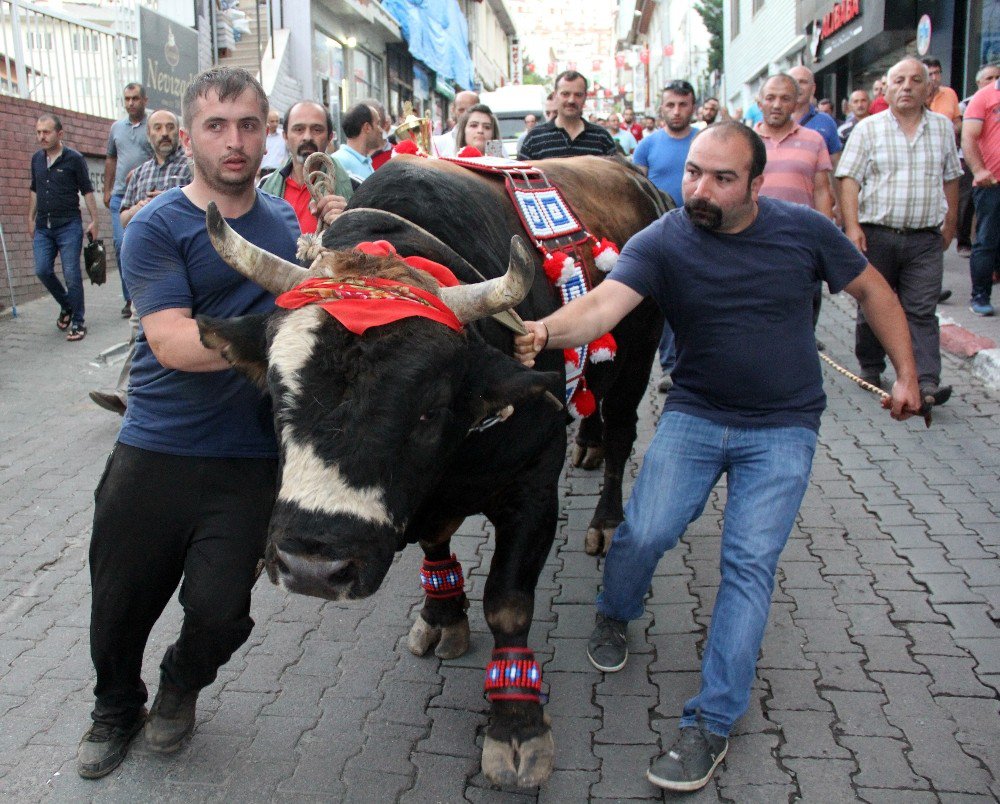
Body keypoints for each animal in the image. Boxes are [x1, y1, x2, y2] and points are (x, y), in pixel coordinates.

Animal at [193, 155, 664, 784]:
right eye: (274, 391)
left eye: (429, 408)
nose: (314, 567)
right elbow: (436, 545)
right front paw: (442, 615)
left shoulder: (534, 479)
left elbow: (508, 602)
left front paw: (517, 727)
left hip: (639, 359)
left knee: (621, 433)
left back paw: (608, 520)